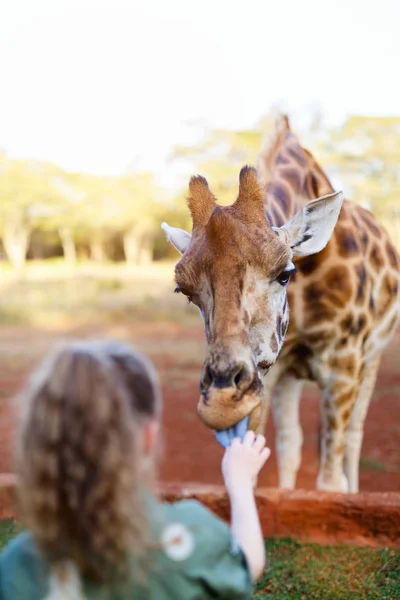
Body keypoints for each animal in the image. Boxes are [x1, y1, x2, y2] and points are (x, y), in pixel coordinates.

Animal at [162, 116, 400, 492]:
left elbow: (330, 483)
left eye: (285, 273)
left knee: (353, 439)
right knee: (292, 445)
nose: (221, 405)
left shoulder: (344, 367)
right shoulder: (270, 369)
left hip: (372, 359)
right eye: (183, 290)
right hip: (291, 375)